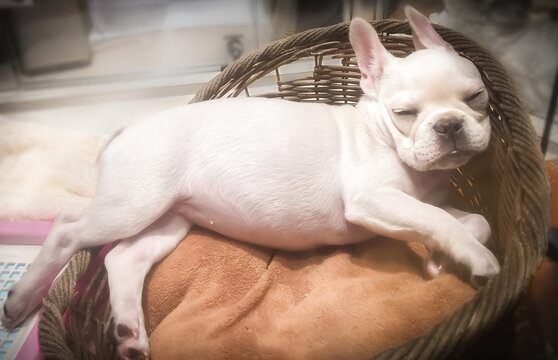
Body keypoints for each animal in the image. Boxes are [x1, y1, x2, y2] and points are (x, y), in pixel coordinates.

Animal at [0, 6, 498, 360]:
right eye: (405, 113)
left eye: (477, 97)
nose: (449, 126)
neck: (382, 134)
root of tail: (126, 129)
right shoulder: (372, 198)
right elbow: (444, 222)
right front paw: (475, 260)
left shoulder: (425, 203)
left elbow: (471, 221)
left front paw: (440, 258)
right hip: (132, 203)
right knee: (68, 226)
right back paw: (23, 297)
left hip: (169, 219)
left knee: (123, 257)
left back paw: (128, 331)